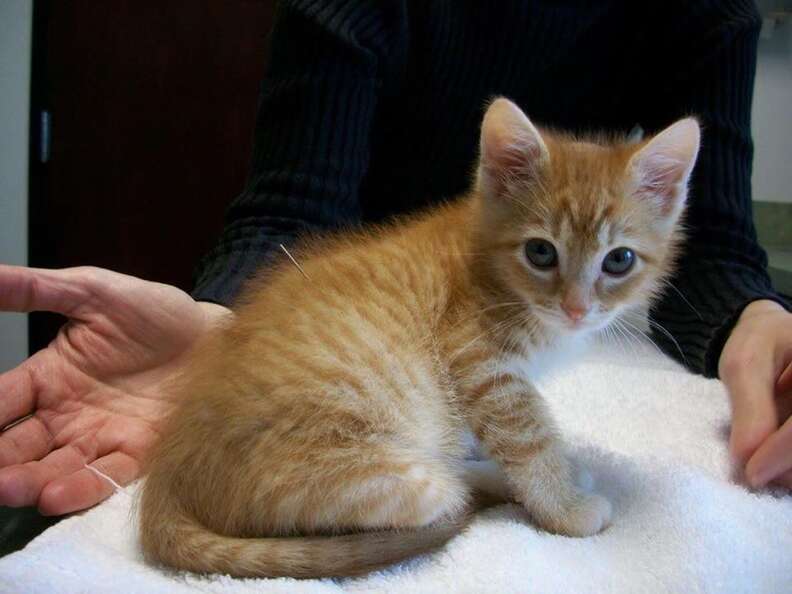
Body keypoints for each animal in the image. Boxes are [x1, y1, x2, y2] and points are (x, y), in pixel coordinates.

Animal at [139, 98, 696, 580]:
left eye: (619, 260)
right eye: (541, 252)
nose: (576, 309)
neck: (488, 265)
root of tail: (167, 477)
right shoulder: (481, 363)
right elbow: (528, 439)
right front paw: (562, 507)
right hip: (377, 476)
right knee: (444, 494)